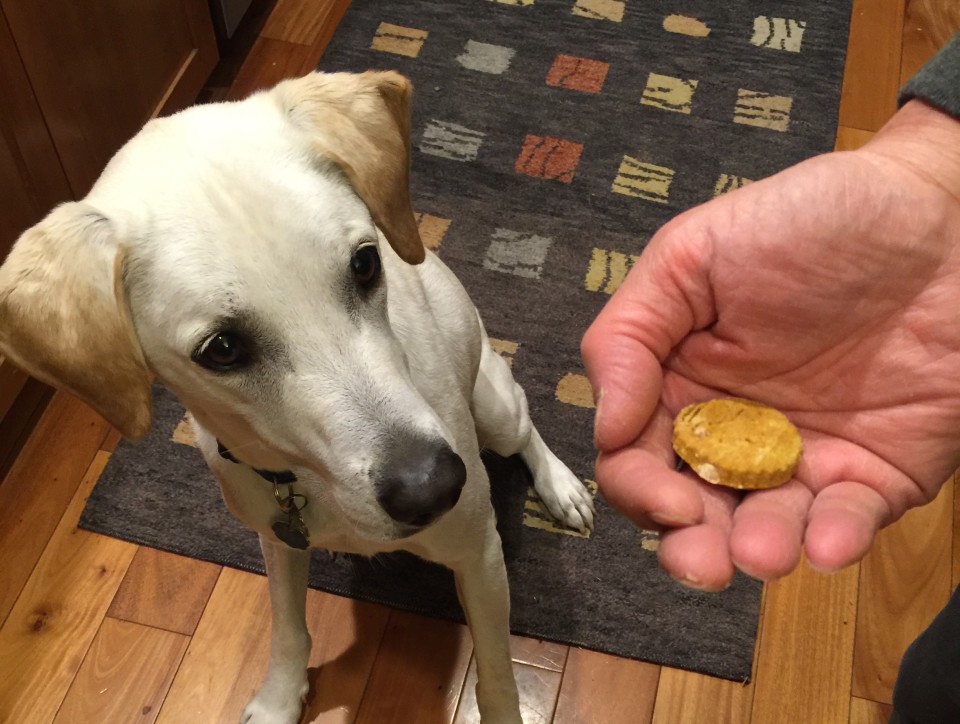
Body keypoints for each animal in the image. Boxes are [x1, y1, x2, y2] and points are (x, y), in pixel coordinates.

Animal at [0, 71, 595, 723]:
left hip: (494, 406)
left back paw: (563, 488)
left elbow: (495, 674)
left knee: (528, 429)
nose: (434, 488)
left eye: (365, 263)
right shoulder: (275, 540)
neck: (309, 483)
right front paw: (280, 699)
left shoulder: (480, 554)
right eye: (222, 349)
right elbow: (288, 629)